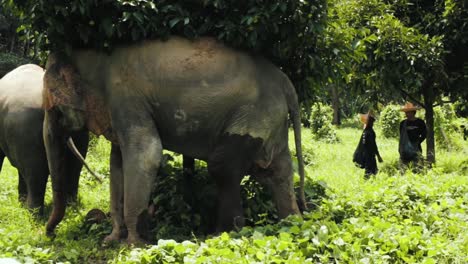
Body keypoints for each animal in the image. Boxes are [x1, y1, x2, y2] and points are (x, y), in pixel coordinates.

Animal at [44, 36, 306, 243]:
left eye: (56, 112)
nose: (49, 234)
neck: (94, 59)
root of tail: (286, 82)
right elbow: (116, 163)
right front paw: (111, 240)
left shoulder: (126, 99)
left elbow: (146, 155)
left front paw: (134, 245)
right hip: (270, 121)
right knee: (278, 172)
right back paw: (291, 224)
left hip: (253, 116)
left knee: (223, 167)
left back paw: (221, 234)